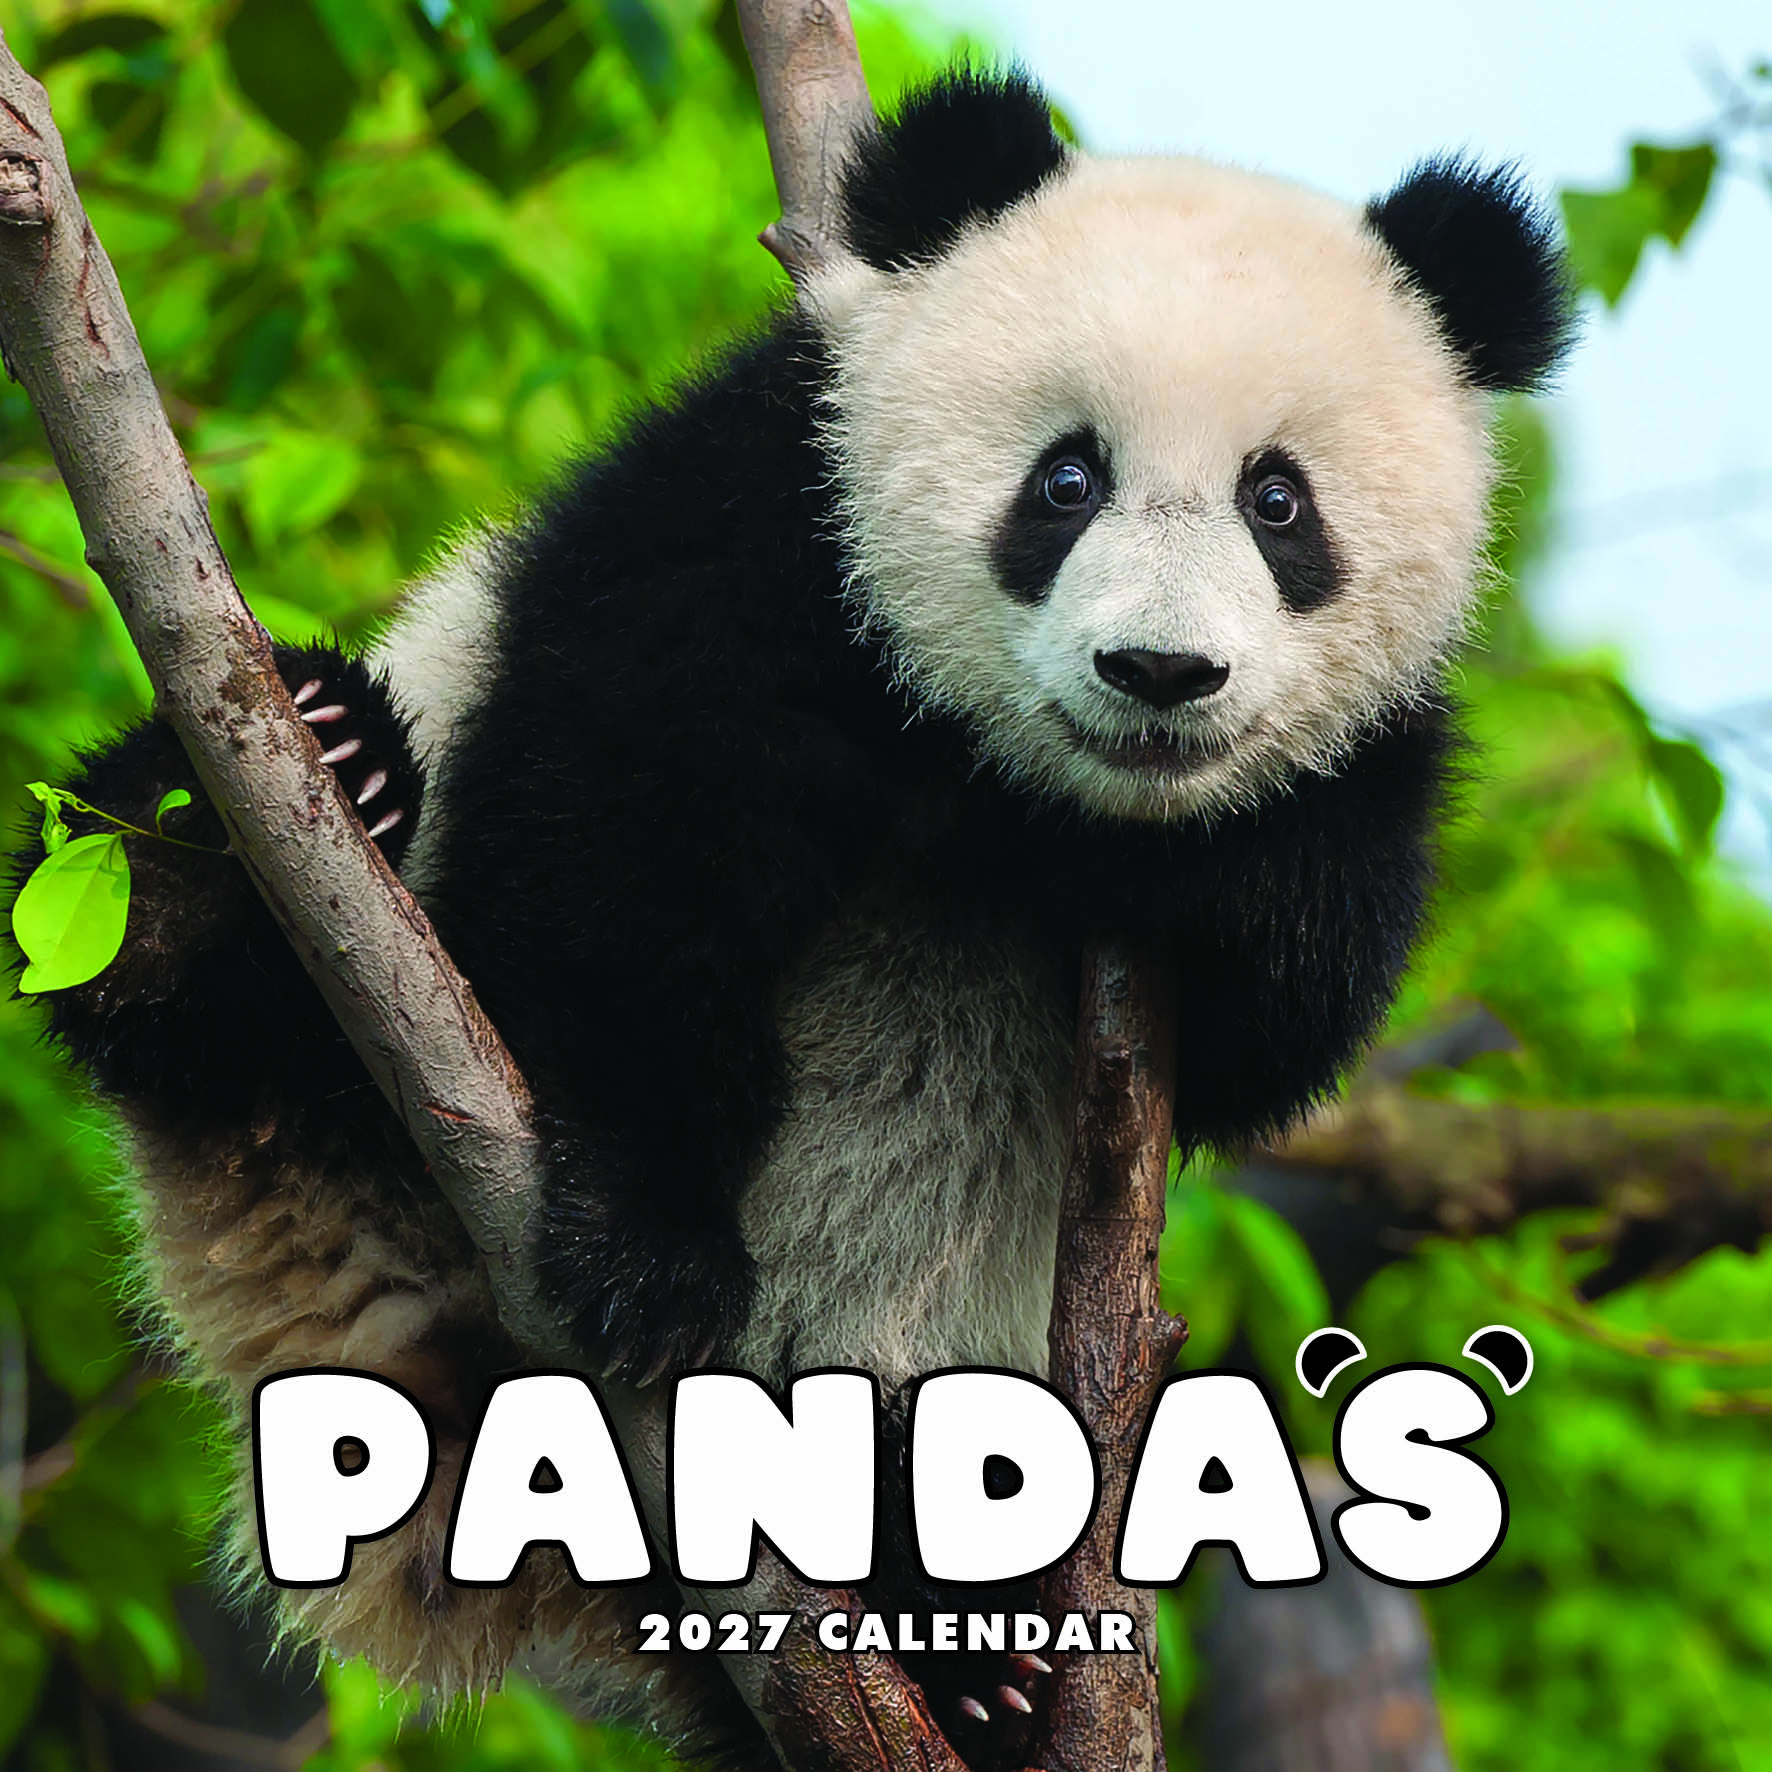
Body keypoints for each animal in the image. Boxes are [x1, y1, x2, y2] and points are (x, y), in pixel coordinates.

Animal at [13, 66, 1570, 1772]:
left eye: (1279, 503)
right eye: (1066, 480)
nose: (1158, 675)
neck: (1007, 778)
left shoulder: (1353, 789)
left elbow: (1279, 1011)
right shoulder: (774, 510)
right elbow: (628, 831)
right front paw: (651, 1250)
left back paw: (955, 1644)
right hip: (311, 1033)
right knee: (185, 960)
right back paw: (286, 793)